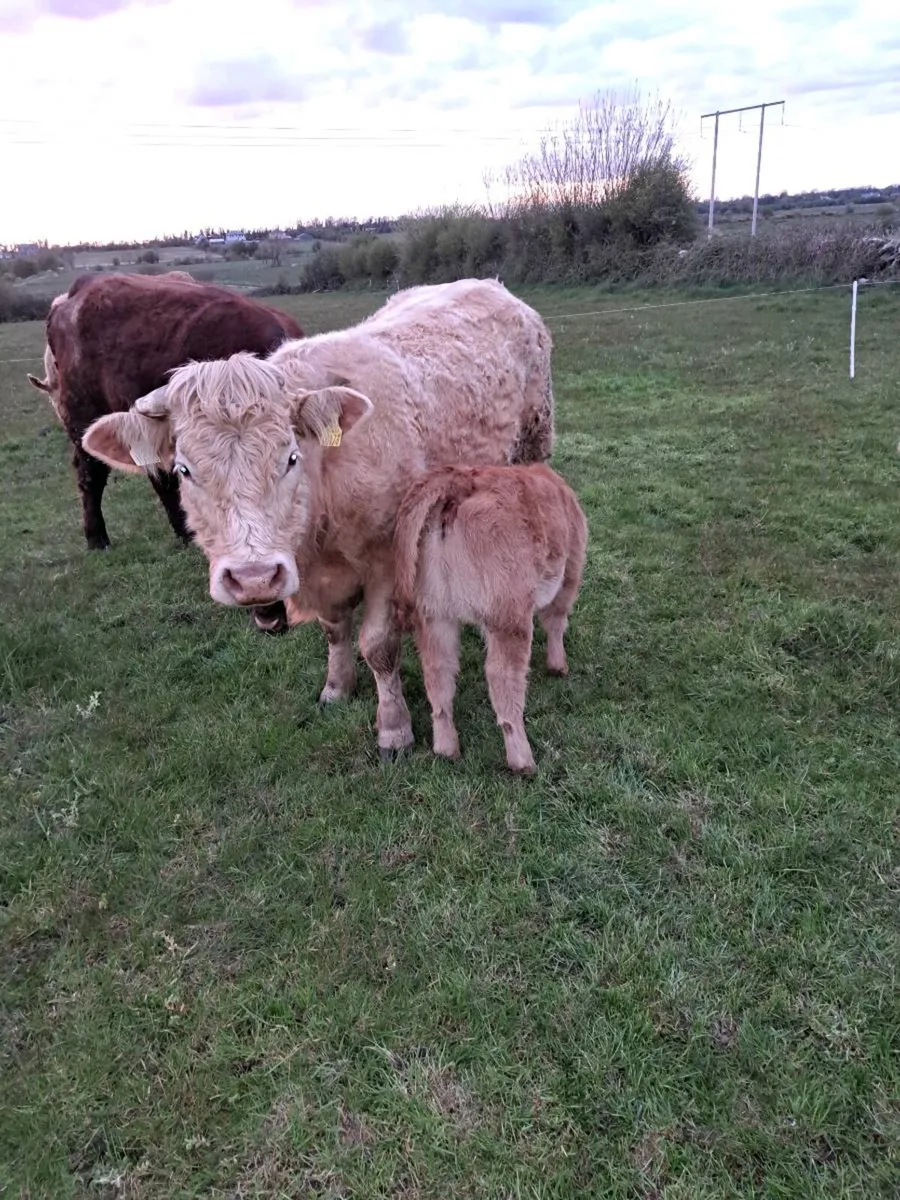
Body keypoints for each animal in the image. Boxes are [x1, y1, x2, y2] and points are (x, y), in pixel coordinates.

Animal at [81, 277, 555, 760]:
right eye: (183, 470)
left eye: (290, 458)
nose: (254, 578)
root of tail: (490, 286)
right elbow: (334, 630)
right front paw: (337, 687)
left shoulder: (386, 561)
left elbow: (378, 645)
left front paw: (394, 728)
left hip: (533, 444)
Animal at [392, 462, 587, 774]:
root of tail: (461, 480)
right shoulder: (570, 570)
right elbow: (557, 620)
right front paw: (558, 666)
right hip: (508, 615)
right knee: (503, 677)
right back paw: (522, 759)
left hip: (433, 614)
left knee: (438, 675)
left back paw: (447, 748)